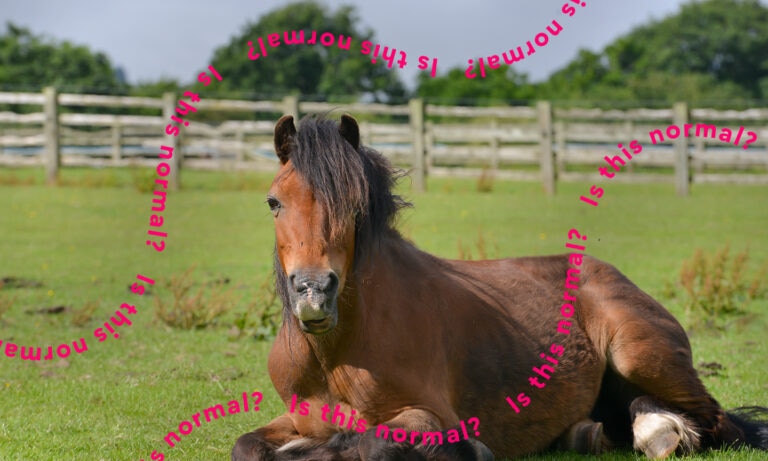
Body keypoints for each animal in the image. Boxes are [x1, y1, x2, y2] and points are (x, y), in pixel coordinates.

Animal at [232, 113, 768, 460]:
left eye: (356, 205)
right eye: (274, 202)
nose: (313, 292)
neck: (337, 353)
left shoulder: (428, 417)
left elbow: (373, 442)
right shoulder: (296, 418)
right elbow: (246, 446)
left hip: (637, 354)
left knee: (718, 422)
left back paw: (661, 432)